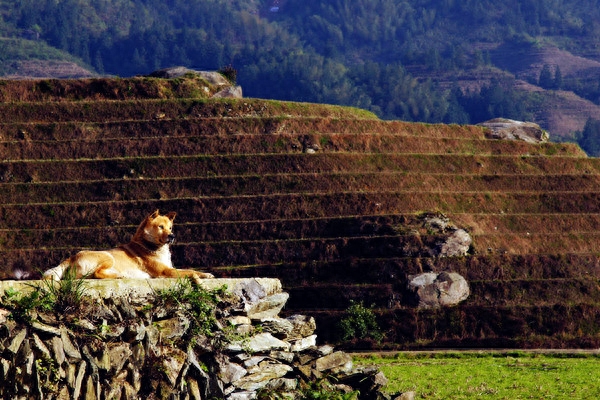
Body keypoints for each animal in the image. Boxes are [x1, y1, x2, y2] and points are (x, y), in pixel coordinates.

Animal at [44, 209, 213, 282]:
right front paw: (201, 275)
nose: (172, 236)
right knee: (96, 274)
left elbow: (190, 270)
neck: (150, 245)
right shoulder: (165, 271)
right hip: (108, 256)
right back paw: (119, 275)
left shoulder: (170, 268)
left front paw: (205, 274)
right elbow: (190, 271)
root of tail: (71, 257)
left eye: (170, 228)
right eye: (160, 227)